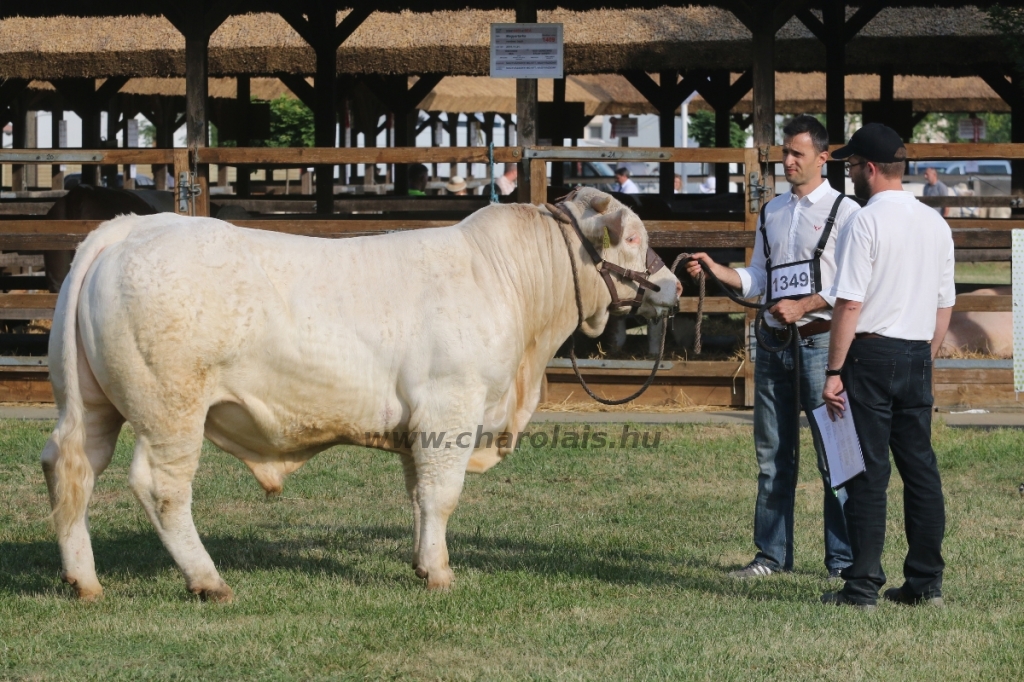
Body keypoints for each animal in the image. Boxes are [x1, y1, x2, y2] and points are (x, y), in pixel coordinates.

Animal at [41, 186, 679, 593]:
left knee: (71, 467)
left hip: (92, 406)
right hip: (170, 410)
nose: (673, 284)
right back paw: (208, 580)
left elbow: (419, 496)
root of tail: (133, 226)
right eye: (631, 237)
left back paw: (84, 580)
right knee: (163, 489)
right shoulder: (451, 409)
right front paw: (439, 573)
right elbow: (442, 494)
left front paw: (422, 563)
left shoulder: (421, 426)